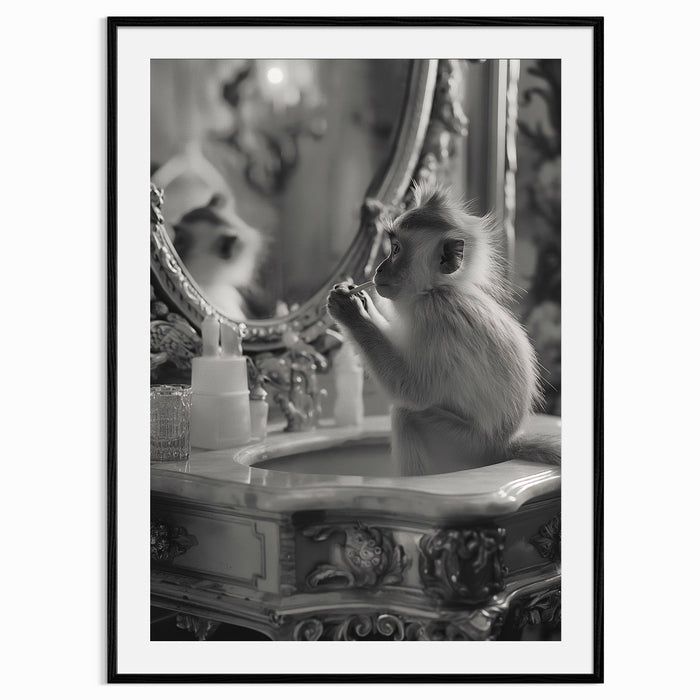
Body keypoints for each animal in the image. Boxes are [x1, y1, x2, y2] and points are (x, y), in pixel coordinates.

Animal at [327, 180, 560, 476]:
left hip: (465, 446)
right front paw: (359, 299)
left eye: (396, 250)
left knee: (406, 415)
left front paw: (350, 312)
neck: (437, 289)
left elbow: (414, 390)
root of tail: (506, 445)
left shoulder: (435, 317)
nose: (378, 269)